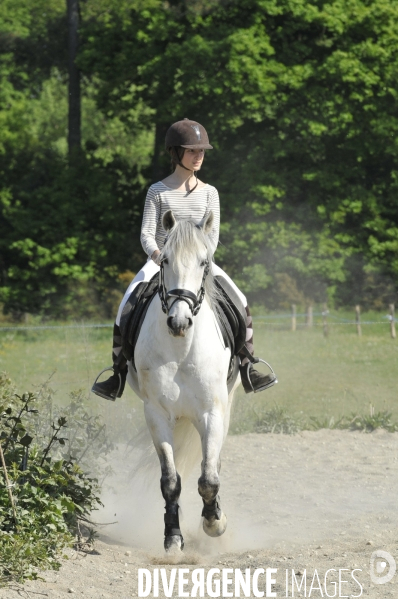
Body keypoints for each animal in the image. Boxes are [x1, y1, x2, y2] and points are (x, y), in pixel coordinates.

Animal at [127, 210, 239, 552]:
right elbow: (170, 481)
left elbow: (209, 479)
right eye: (164, 261)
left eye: (204, 262)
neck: (181, 346)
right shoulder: (157, 415)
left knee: (213, 465)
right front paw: (173, 537)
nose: (179, 321)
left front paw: (215, 523)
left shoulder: (212, 413)